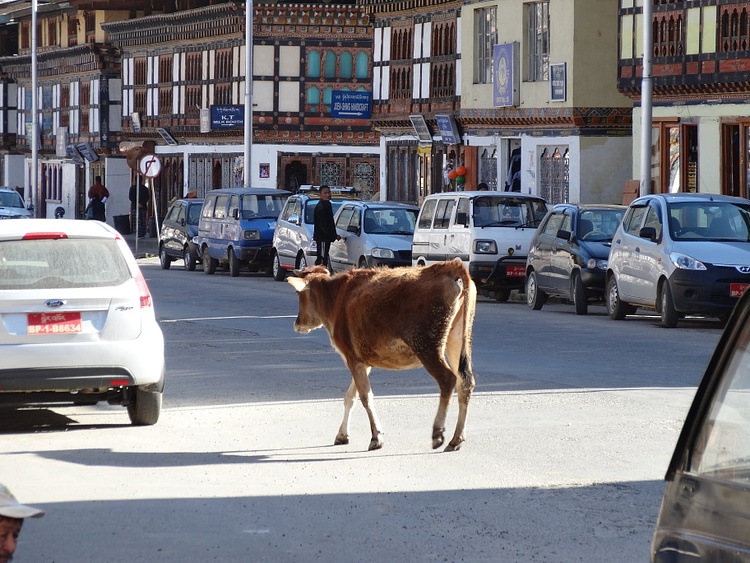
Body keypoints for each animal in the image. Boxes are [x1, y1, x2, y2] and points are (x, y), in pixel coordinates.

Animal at [288, 262, 476, 454]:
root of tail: (450, 266)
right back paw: (456, 439)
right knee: (465, 382)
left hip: (427, 345)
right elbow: (350, 397)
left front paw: (376, 438)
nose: (297, 323)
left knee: (447, 379)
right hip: (456, 339)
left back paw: (438, 434)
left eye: (298, 294)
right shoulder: (362, 361)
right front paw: (342, 435)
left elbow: (366, 397)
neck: (335, 298)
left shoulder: (352, 358)